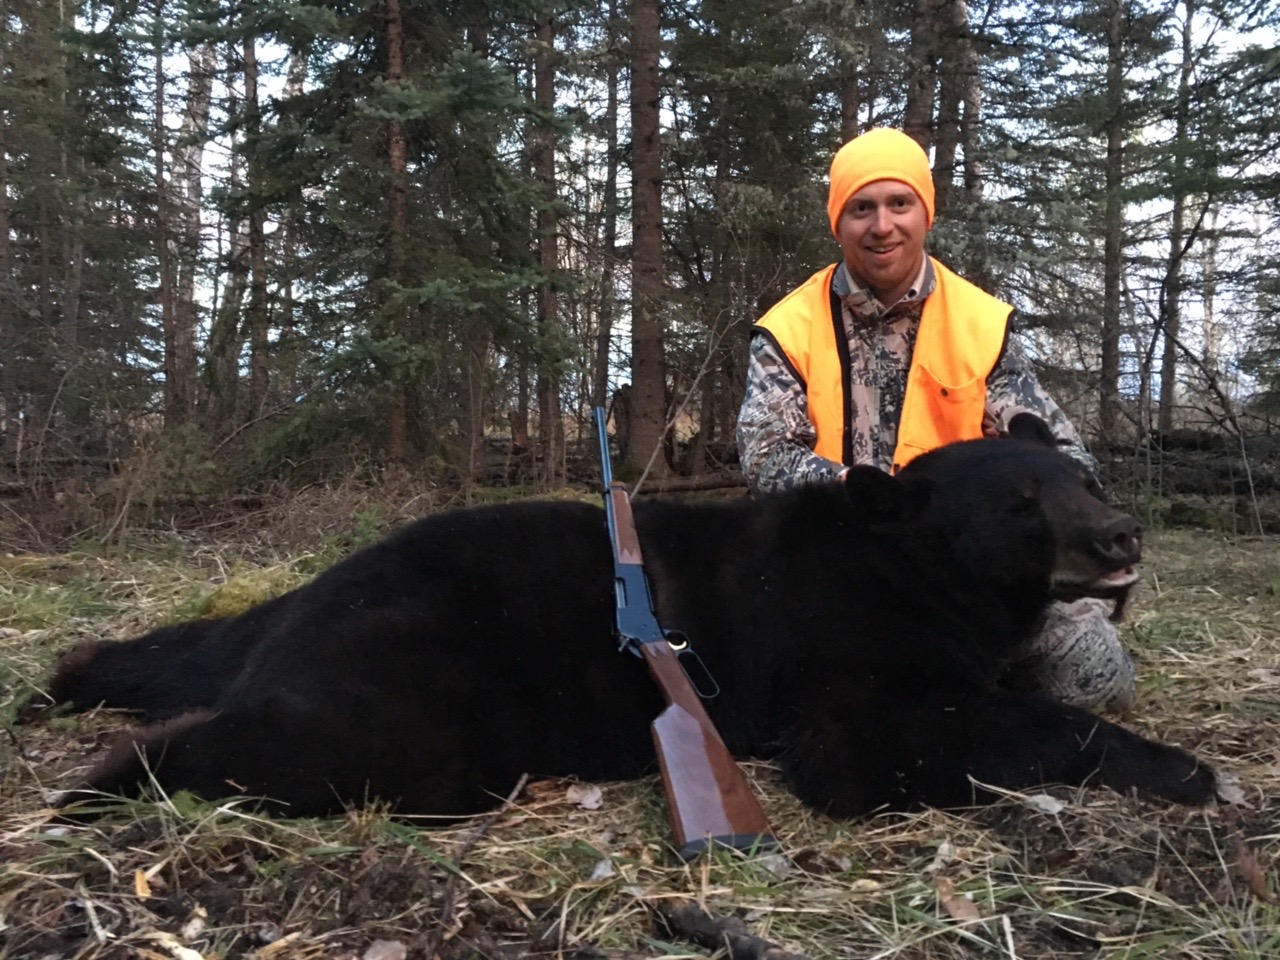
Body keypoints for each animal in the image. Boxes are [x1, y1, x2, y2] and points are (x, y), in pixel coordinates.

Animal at [30, 415, 1215, 820]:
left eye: (1081, 478)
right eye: (1020, 506)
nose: (1121, 537)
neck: (912, 572)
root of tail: (310, 596)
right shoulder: (843, 665)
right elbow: (901, 737)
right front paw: (1190, 769)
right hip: (416, 679)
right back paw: (100, 787)